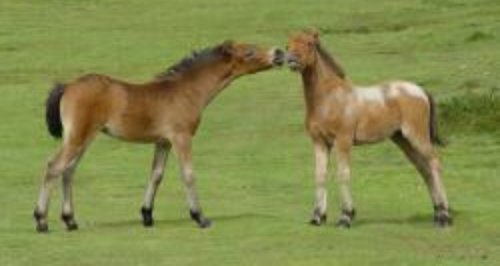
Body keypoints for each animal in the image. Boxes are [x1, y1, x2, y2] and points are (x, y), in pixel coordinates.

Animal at [34, 40, 286, 232]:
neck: (186, 91)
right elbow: (188, 174)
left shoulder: (163, 142)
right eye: (249, 51)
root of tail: (68, 86)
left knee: (68, 171)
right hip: (78, 137)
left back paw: (70, 221)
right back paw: (41, 221)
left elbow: (156, 175)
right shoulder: (181, 137)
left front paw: (147, 216)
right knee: (54, 166)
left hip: (83, 138)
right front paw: (200, 217)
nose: (279, 53)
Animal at [286, 30, 454, 228]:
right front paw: (317, 217)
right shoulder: (319, 142)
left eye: (309, 43)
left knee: (434, 163)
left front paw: (346, 217)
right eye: (288, 44)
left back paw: (444, 217)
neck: (329, 98)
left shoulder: (343, 140)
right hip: (402, 140)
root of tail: (420, 90)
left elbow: (343, 174)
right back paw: (437, 213)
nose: (291, 59)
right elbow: (320, 175)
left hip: (416, 136)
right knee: (424, 169)